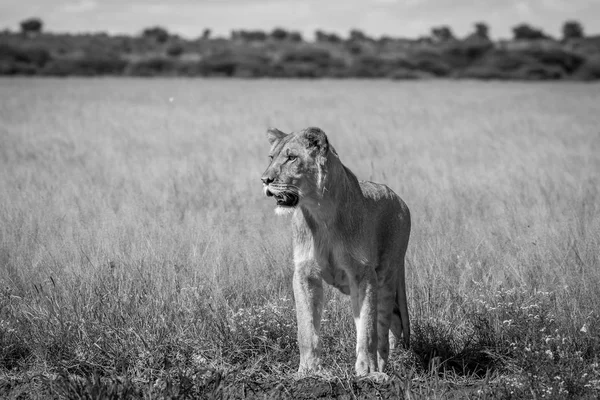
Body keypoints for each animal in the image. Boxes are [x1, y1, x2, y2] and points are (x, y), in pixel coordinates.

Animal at [260, 126, 410, 376]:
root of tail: (401, 201)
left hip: (386, 278)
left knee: (384, 327)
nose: (264, 180)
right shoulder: (305, 273)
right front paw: (307, 371)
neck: (320, 212)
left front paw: (367, 372)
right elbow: (306, 330)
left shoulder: (363, 274)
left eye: (291, 158)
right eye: (271, 157)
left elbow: (368, 329)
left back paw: (380, 366)